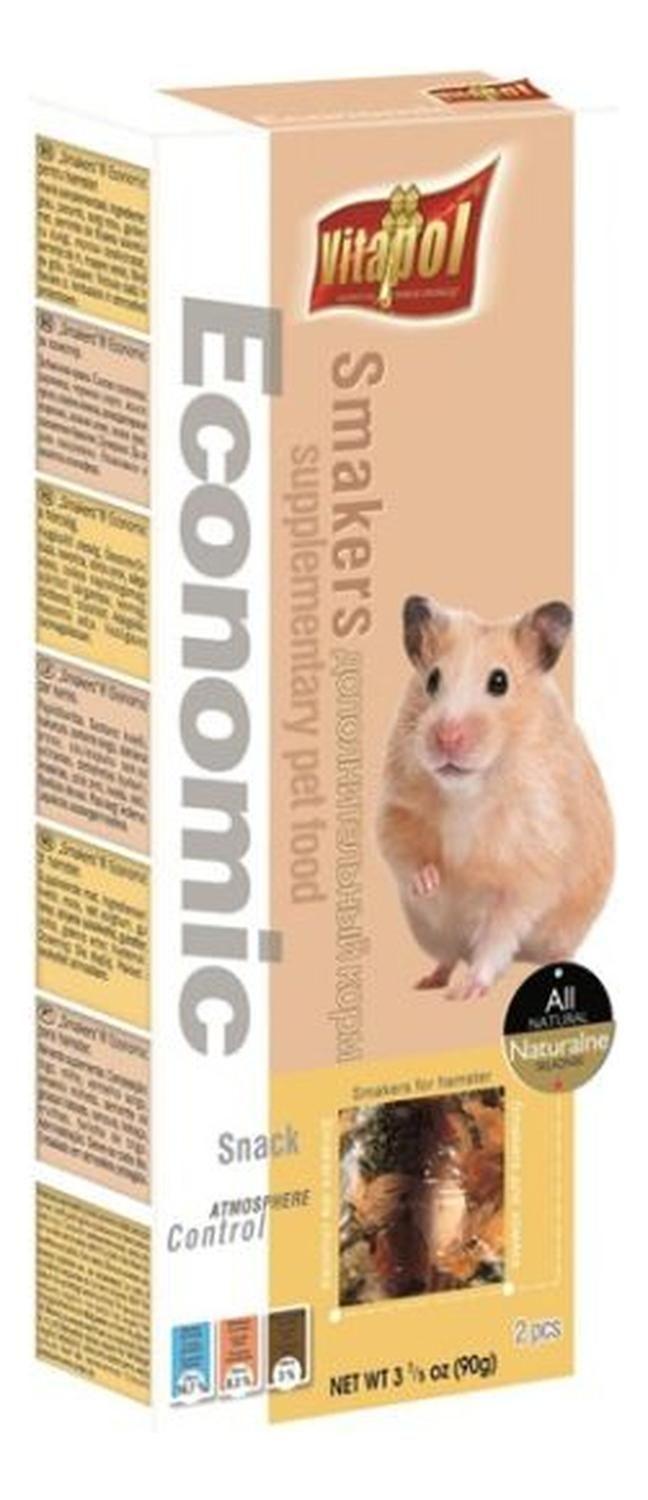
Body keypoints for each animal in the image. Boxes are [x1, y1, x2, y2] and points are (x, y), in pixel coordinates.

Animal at [377, 596, 613, 998]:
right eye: (432, 679)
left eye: (499, 681)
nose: (446, 738)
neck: (466, 792)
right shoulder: (396, 810)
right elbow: (405, 855)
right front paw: (430, 882)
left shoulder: (529, 872)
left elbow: (497, 935)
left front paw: (468, 991)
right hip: (433, 934)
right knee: (448, 957)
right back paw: (428, 982)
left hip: (565, 930)